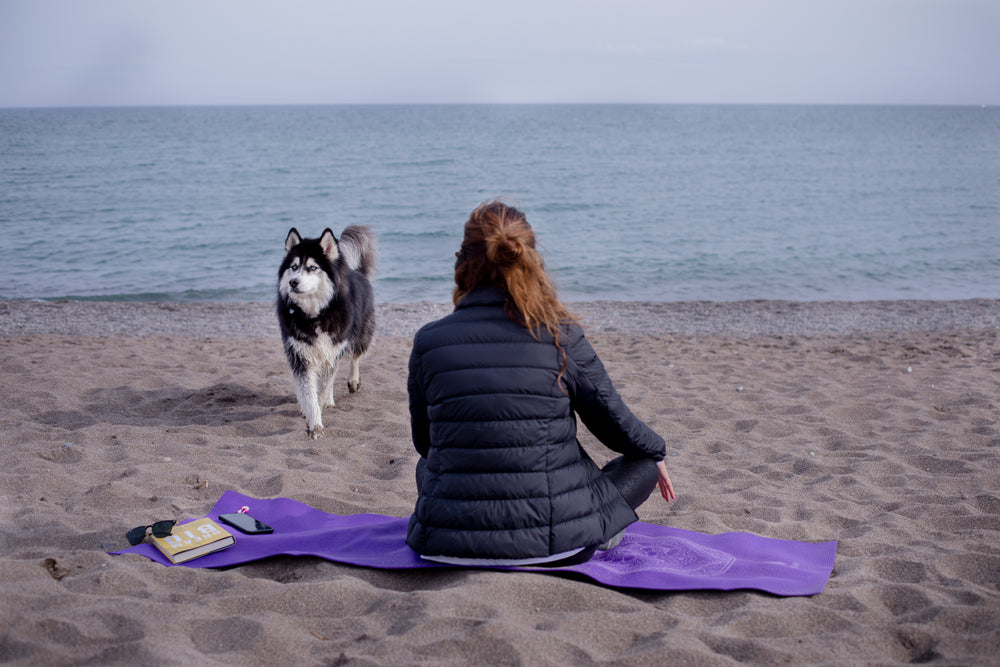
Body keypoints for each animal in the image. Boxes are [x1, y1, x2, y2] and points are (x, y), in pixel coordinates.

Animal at [276, 227, 376, 440]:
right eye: (294, 266)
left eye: (313, 267)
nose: (293, 282)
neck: (315, 315)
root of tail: (356, 272)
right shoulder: (300, 354)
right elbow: (309, 392)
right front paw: (314, 422)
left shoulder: (333, 347)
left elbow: (322, 388)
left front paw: (319, 412)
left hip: (358, 335)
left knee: (353, 358)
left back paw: (352, 382)